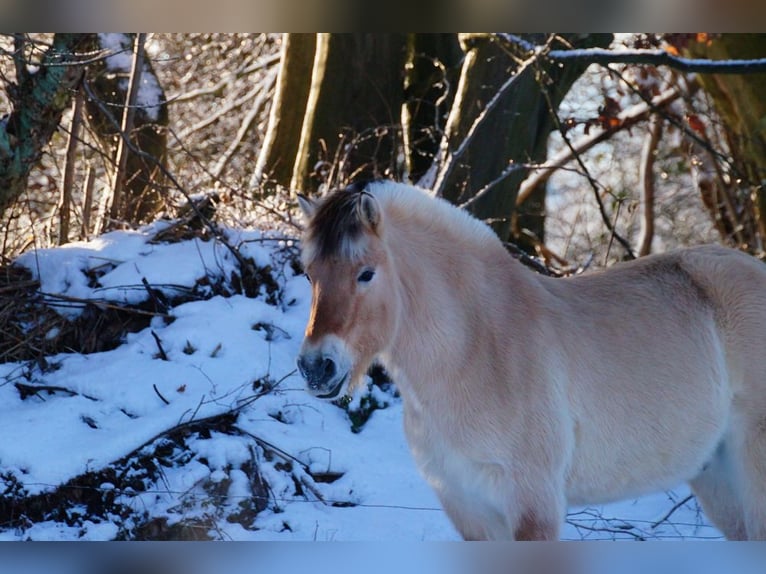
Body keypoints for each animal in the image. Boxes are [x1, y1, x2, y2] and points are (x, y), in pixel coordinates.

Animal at [296, 180, 766, 540]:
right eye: (310, 273)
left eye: (366, 273)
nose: (316, 367)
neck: (475, 350)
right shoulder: (467, 508)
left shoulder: (533, 505)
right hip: (715, 476)